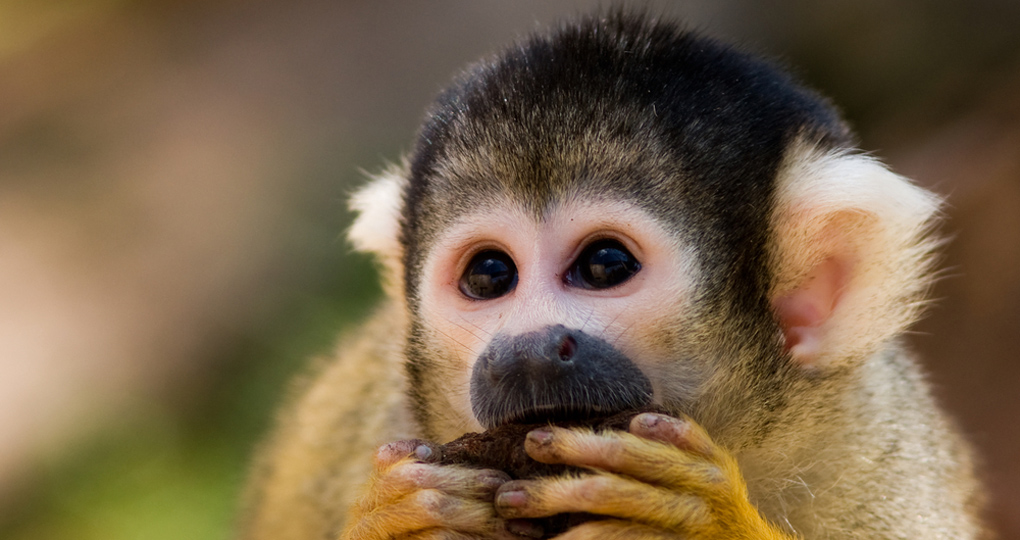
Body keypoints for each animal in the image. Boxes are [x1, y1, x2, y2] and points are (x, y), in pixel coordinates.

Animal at [236, 11, 986, 540]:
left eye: (605, 265)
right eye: (489, 275)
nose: (528, 349)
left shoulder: (877, 458)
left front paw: (702, 524)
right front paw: (397, 522)